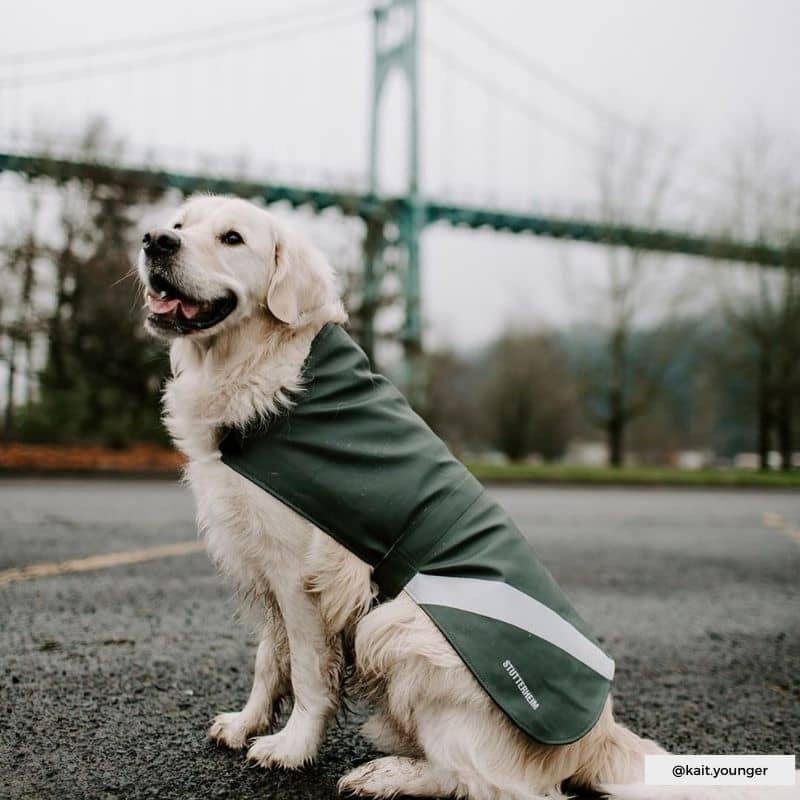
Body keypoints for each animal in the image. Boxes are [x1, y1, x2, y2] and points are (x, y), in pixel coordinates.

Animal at [138, 195, 792, 800]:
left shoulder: (304, 574)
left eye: (232, 237)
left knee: (487, 782)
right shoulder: (262, 562)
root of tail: (597, 735)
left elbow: (308, 674)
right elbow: (268, 661)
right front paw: (246, 722)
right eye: (180, 222)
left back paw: (387, 775)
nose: (154, 240)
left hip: (398, 624)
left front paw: (291, 748)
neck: (263, 368)